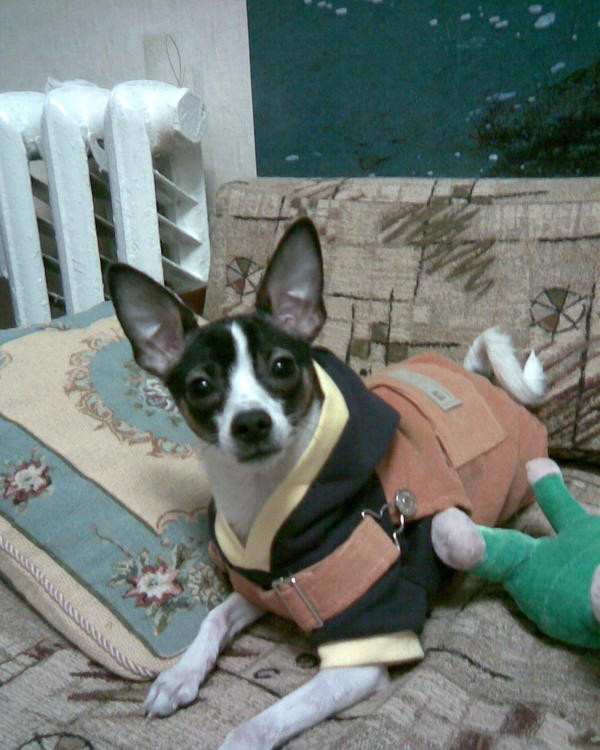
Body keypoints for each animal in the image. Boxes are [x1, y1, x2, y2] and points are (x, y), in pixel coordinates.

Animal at [107, 217, 547, 749]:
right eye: (201, 387)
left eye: (281, 366)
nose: (250, 422)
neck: (265, 495)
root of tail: (477, 377)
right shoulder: (264, 590)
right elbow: (214, 619)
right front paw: (179, 676)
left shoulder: (361, 655)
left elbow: (263, 721)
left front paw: (238, 731)